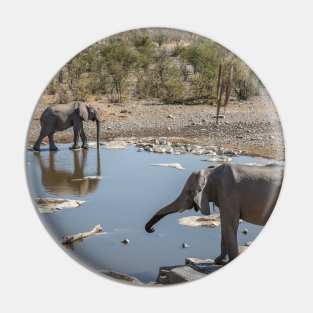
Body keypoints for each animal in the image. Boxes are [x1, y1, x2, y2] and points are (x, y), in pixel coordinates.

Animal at [145, 163, 284, 264]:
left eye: (189, 191)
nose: (152, 229)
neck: (211, 171)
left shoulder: (229, 194)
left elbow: (229, 225)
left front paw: (226, 262)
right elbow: (225, 225)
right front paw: (219, 261)